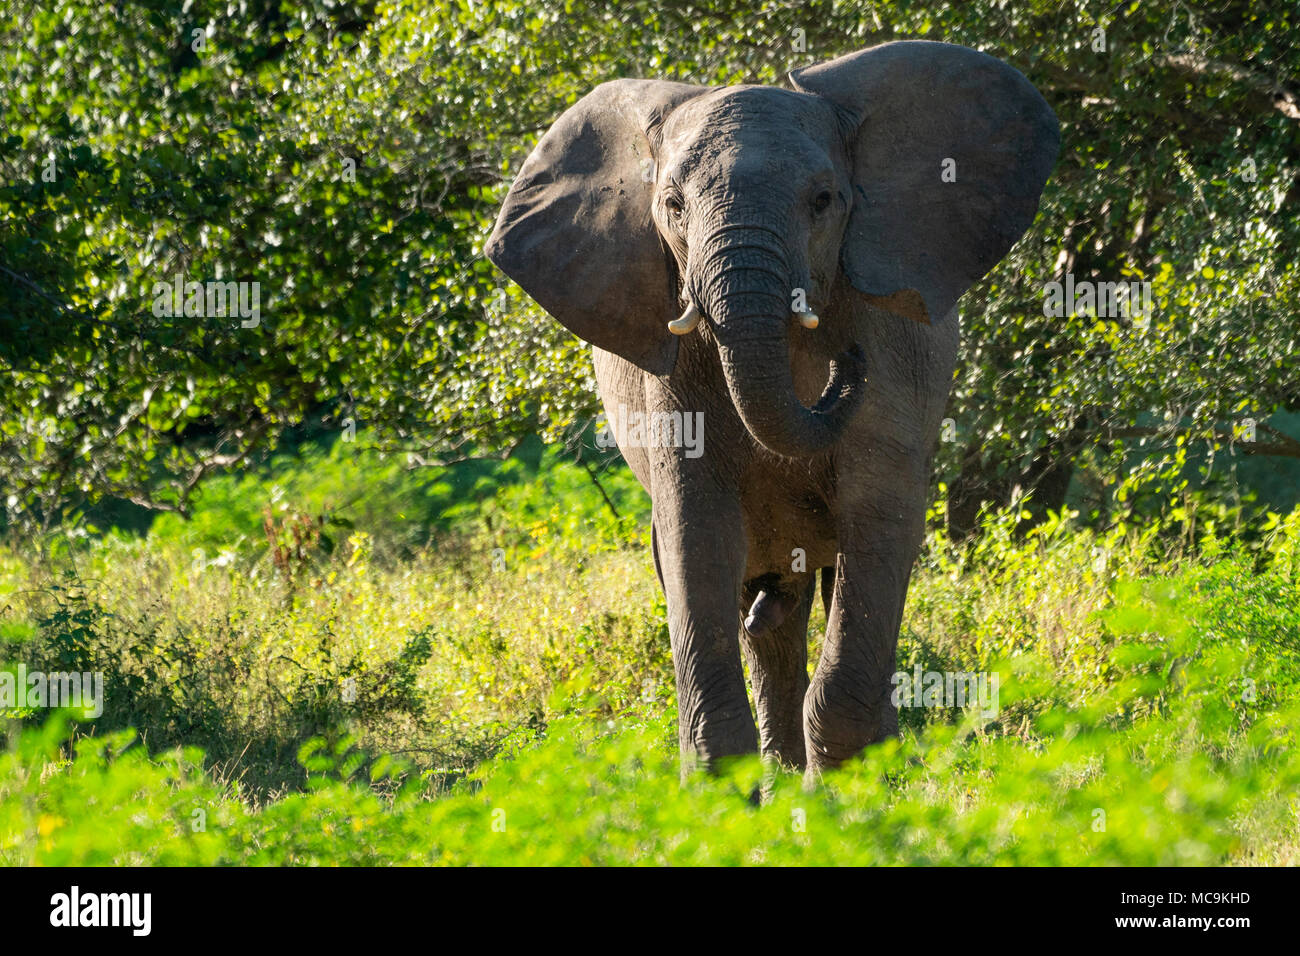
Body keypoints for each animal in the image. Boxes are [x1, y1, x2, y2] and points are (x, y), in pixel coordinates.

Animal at [483, 41, 1060, 780]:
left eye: (824, 200)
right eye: (671, 205)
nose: (848, 365)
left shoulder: (891, 340)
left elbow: (879, 516)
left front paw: (852, 785)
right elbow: (695, 528)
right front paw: (722, 791)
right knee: (768, 609)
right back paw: (782, 769)